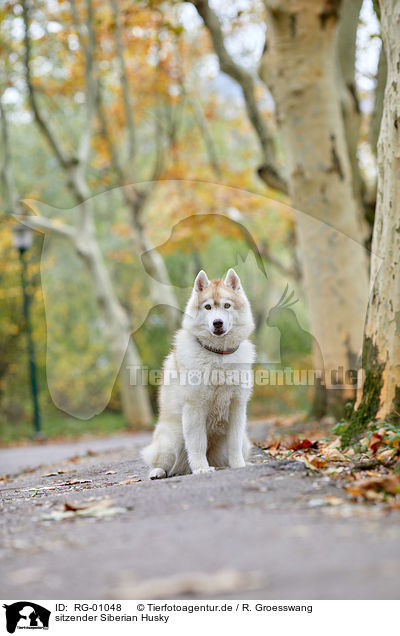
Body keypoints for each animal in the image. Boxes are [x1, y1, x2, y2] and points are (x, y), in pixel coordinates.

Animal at [142, 266, 255, 480]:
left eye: (227, 305)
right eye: (208, 307)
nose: (217, 323)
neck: (218, 355)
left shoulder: (237, 407)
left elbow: (234, 443)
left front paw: (239, 466)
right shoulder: (194, 407)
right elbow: (197, 444)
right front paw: (201, 468)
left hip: (243, 440)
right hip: (173, 439)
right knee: (162, 463)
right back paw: (158, 472)